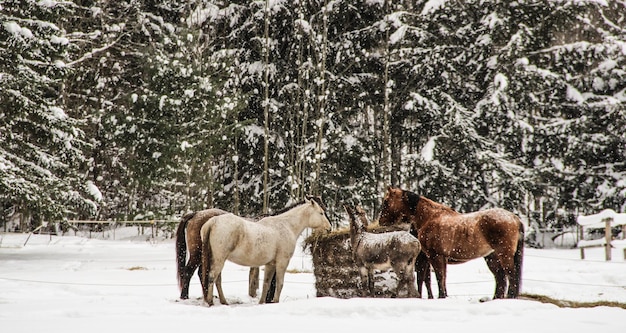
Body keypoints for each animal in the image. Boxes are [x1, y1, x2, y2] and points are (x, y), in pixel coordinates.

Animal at [200, 196, 330, 304]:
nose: (329, 228)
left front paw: (262, 302)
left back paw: (223, 301)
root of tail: (213, 221)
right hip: (219, 259)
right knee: (212, 277)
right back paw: (210, 302)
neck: (286, 225)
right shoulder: (282, 262)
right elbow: (279, 283)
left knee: (217, 279)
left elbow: (266, 284)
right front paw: (275, 301)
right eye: (321, 213)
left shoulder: (270, 264)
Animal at [378, 187, 520, 298]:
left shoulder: (434, 256)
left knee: (511, 276)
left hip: (504, 255)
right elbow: (438, 279)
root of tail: (514, 218)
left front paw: (441, 297)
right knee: (501, 279)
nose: (380, 221)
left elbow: (438, 278)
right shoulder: (438, 258)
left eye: (386, 202)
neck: (429, 217)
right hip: (493, 258)